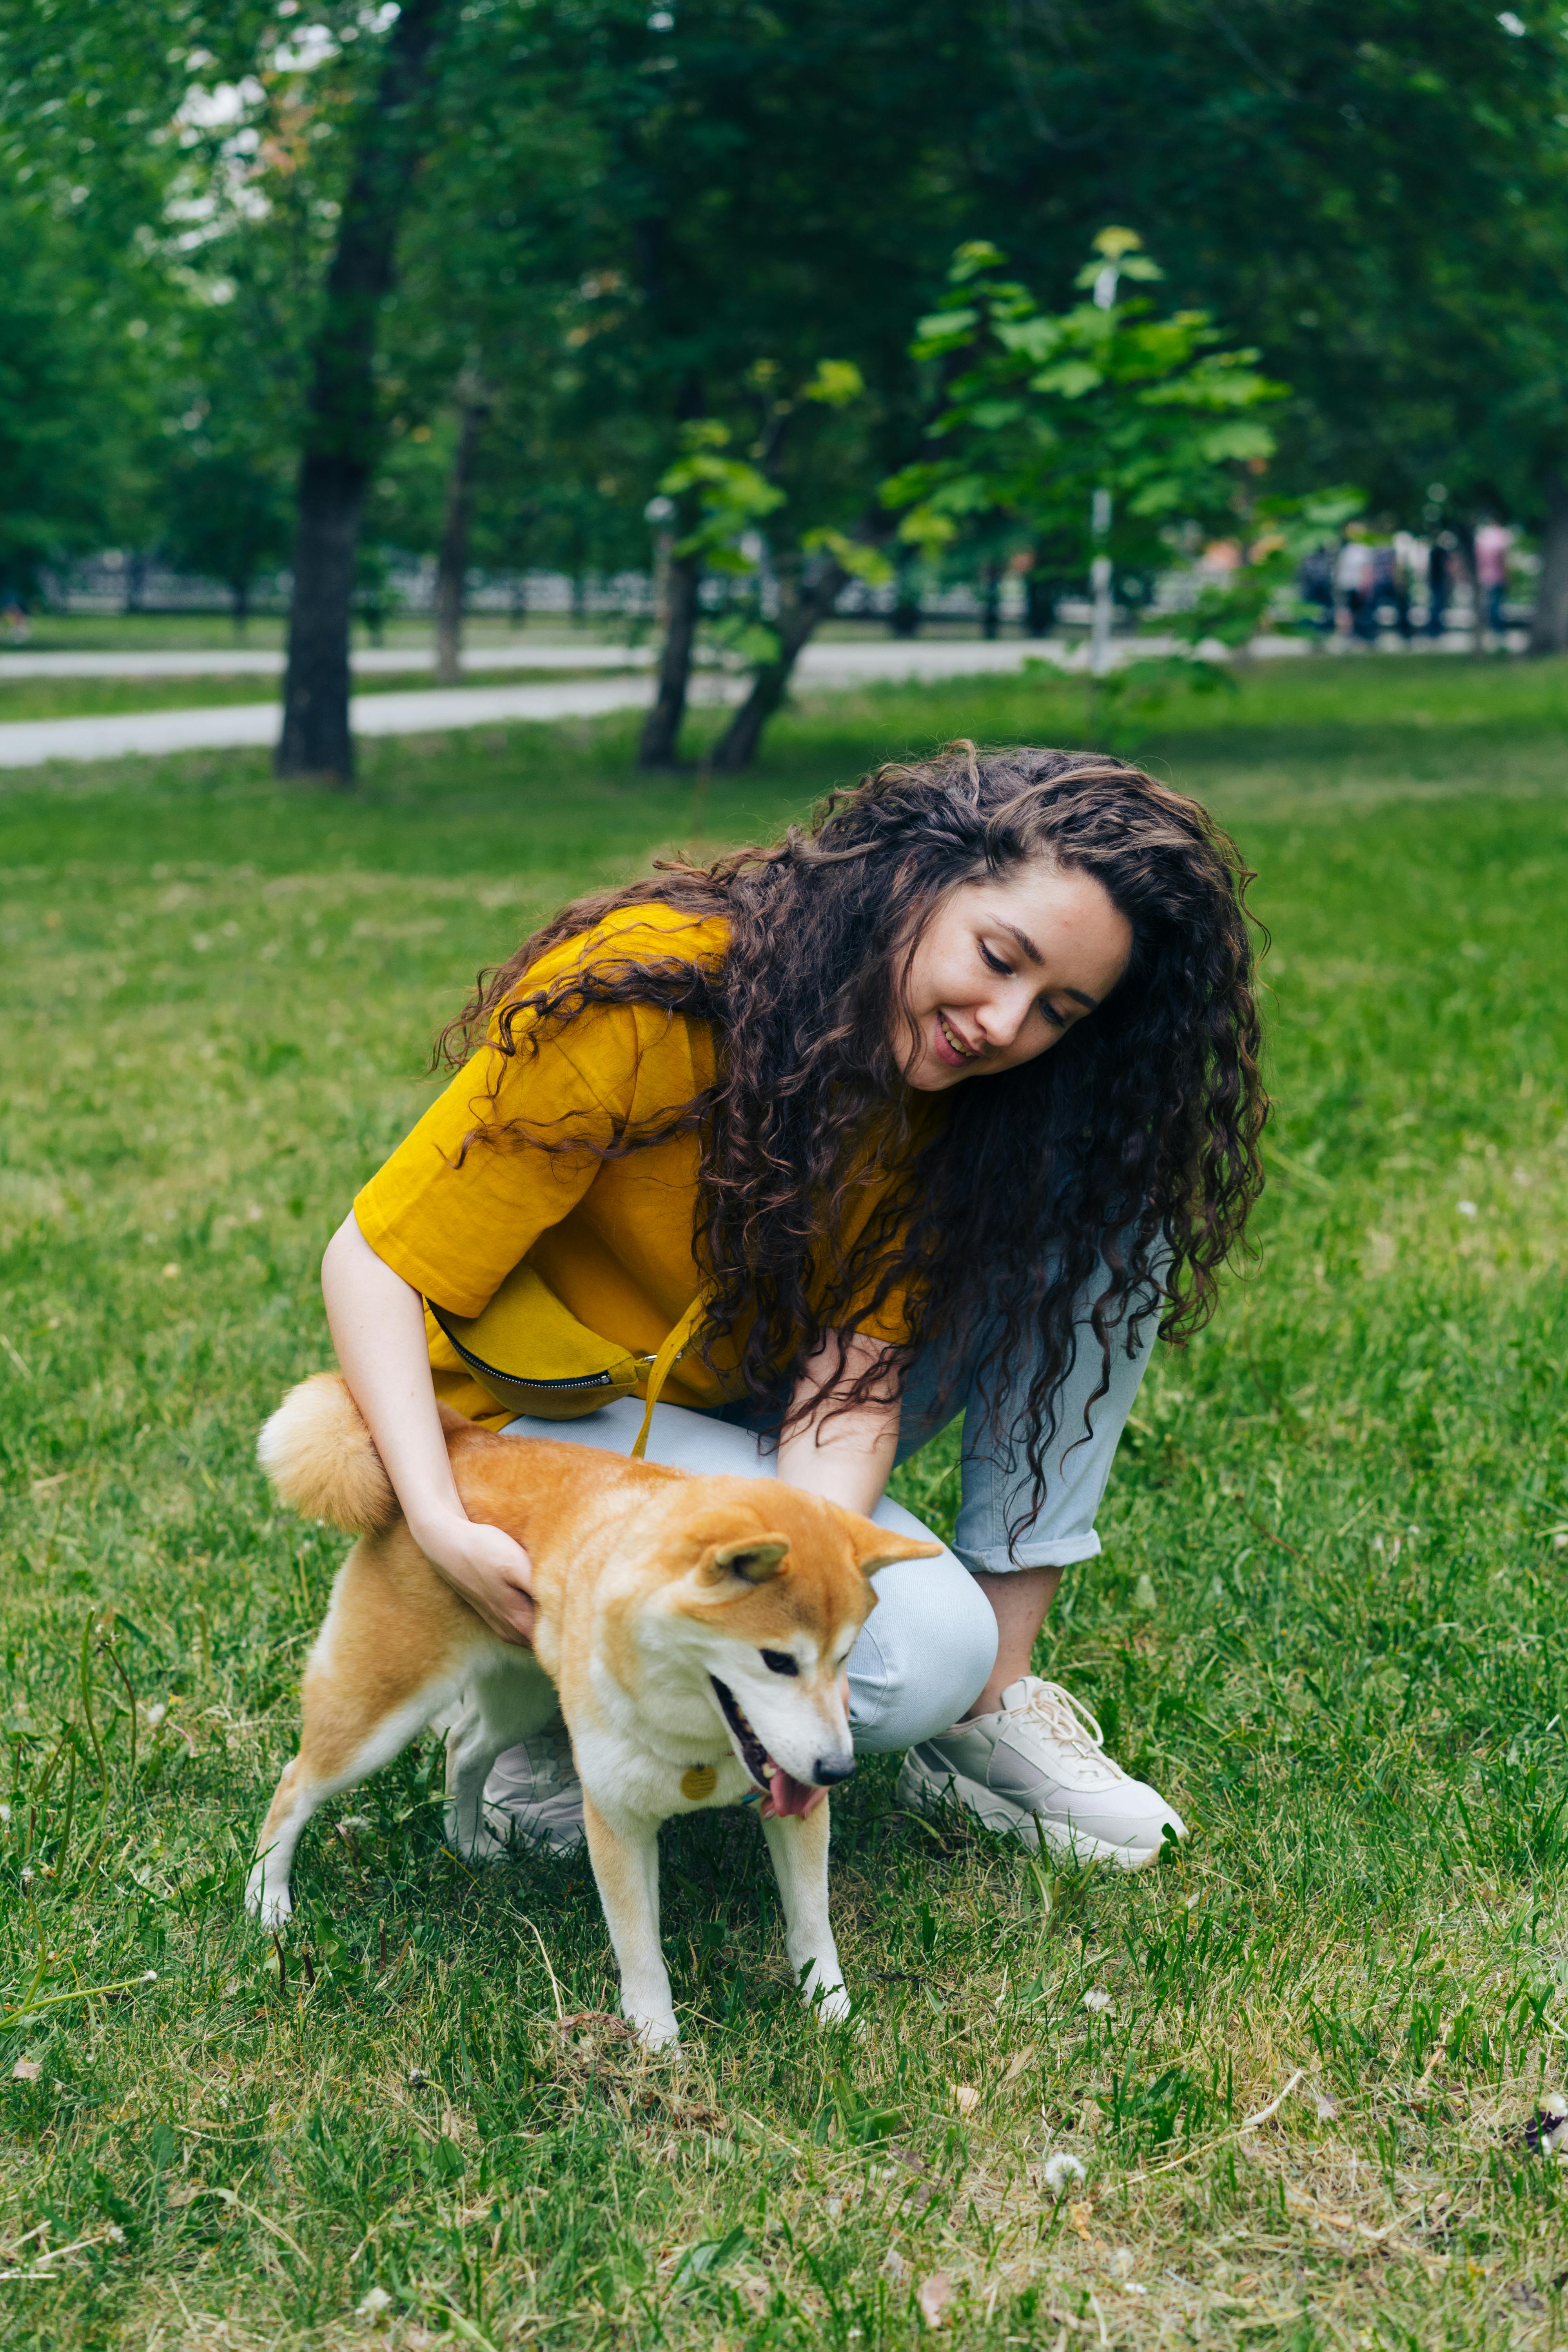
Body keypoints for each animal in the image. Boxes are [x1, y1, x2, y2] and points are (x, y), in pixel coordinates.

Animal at [243, 1374, 931, 2051]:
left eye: (843, 1658)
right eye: (778, 1661)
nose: (838, 1770)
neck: (698, 1746)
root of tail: (464, 1440)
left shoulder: (796, 1812)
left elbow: (813, 1926)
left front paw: (835, 2015)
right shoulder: (618, 1820)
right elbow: (640, 1947)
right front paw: (657, 2042)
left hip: (522, 1698)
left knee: (464, 1747)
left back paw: (469, 1844)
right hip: (380, 1712)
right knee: (295, 1785)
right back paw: (268, 1901)